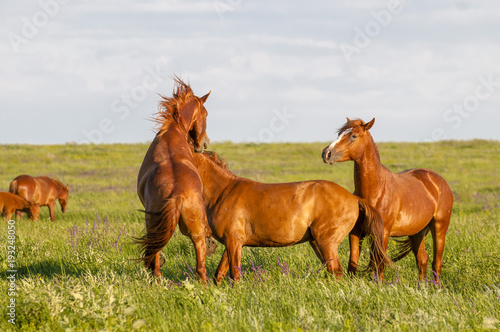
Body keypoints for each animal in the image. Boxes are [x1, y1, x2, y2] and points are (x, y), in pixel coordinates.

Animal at [137, 78, 213, 282]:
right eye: (206, 113)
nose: (204, 143)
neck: (173, 132)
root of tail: (177, 195)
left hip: (154, 223)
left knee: (155, 252)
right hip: (194, 231)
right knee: (200, 265)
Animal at [191, 150, 390, 282]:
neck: (224, 191)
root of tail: (354, 198)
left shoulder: (234, 241)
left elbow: (234, 274)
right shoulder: (232, 243)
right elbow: (219, 274)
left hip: (326, 241)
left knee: (336, 272)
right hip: (318, 243)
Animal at [322, 118, 456, 282]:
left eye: (353, 136)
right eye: (339, 133)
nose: (326, 154)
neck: (376, 191)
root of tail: (438, 181)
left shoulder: (382, 234)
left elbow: (378, 266)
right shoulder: (355, 233)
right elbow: (352, 264)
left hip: (439, 227)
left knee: (436, 263)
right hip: (417, 232)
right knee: (422, 260)